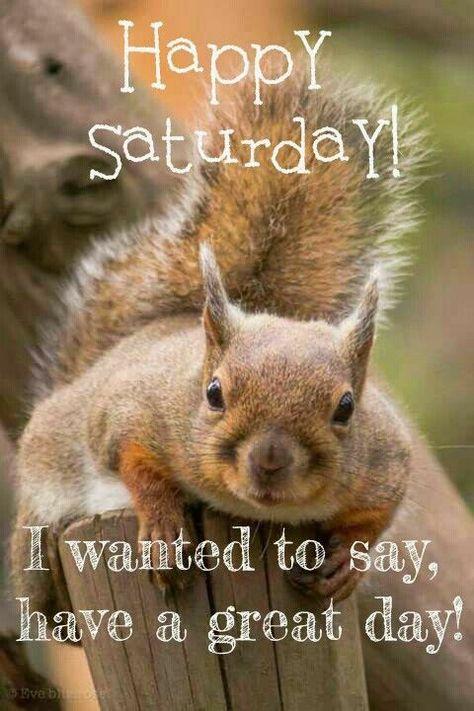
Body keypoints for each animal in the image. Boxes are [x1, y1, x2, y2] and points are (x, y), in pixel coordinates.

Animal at [11, 66, 423, 613]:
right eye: (213, 394)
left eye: (346, 408)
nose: (269, 460)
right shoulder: (131, 411)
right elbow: (137, 464)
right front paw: (164, 531)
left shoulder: (387, 460)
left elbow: (376, 515)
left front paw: (347, 563)